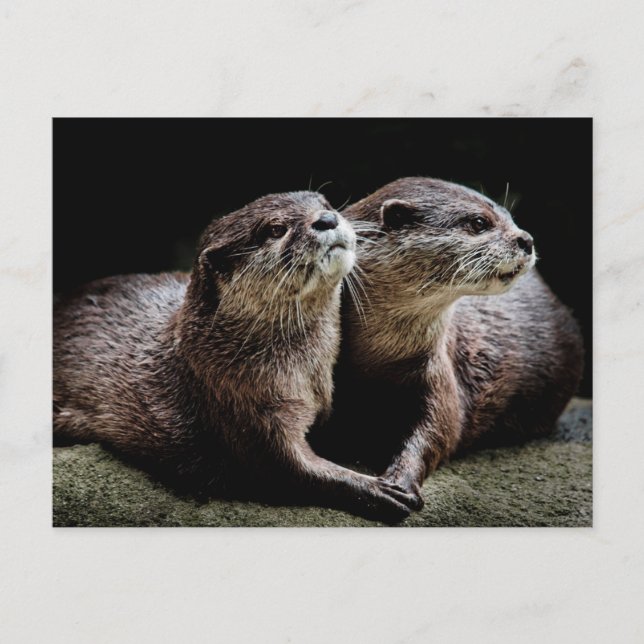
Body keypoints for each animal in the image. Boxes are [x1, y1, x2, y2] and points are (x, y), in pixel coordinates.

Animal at [54, 191, 419, 522]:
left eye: (325, 204)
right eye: (275, 229)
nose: (327, 219)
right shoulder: (241, 406)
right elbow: (288, 470)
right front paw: (376, 488)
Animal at [311, 178, 583, 510]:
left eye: (510, 216)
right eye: (479, 222)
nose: (527, 239)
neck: (377, 360)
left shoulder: (440, 373)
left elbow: (439, 432)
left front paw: (401, 481)